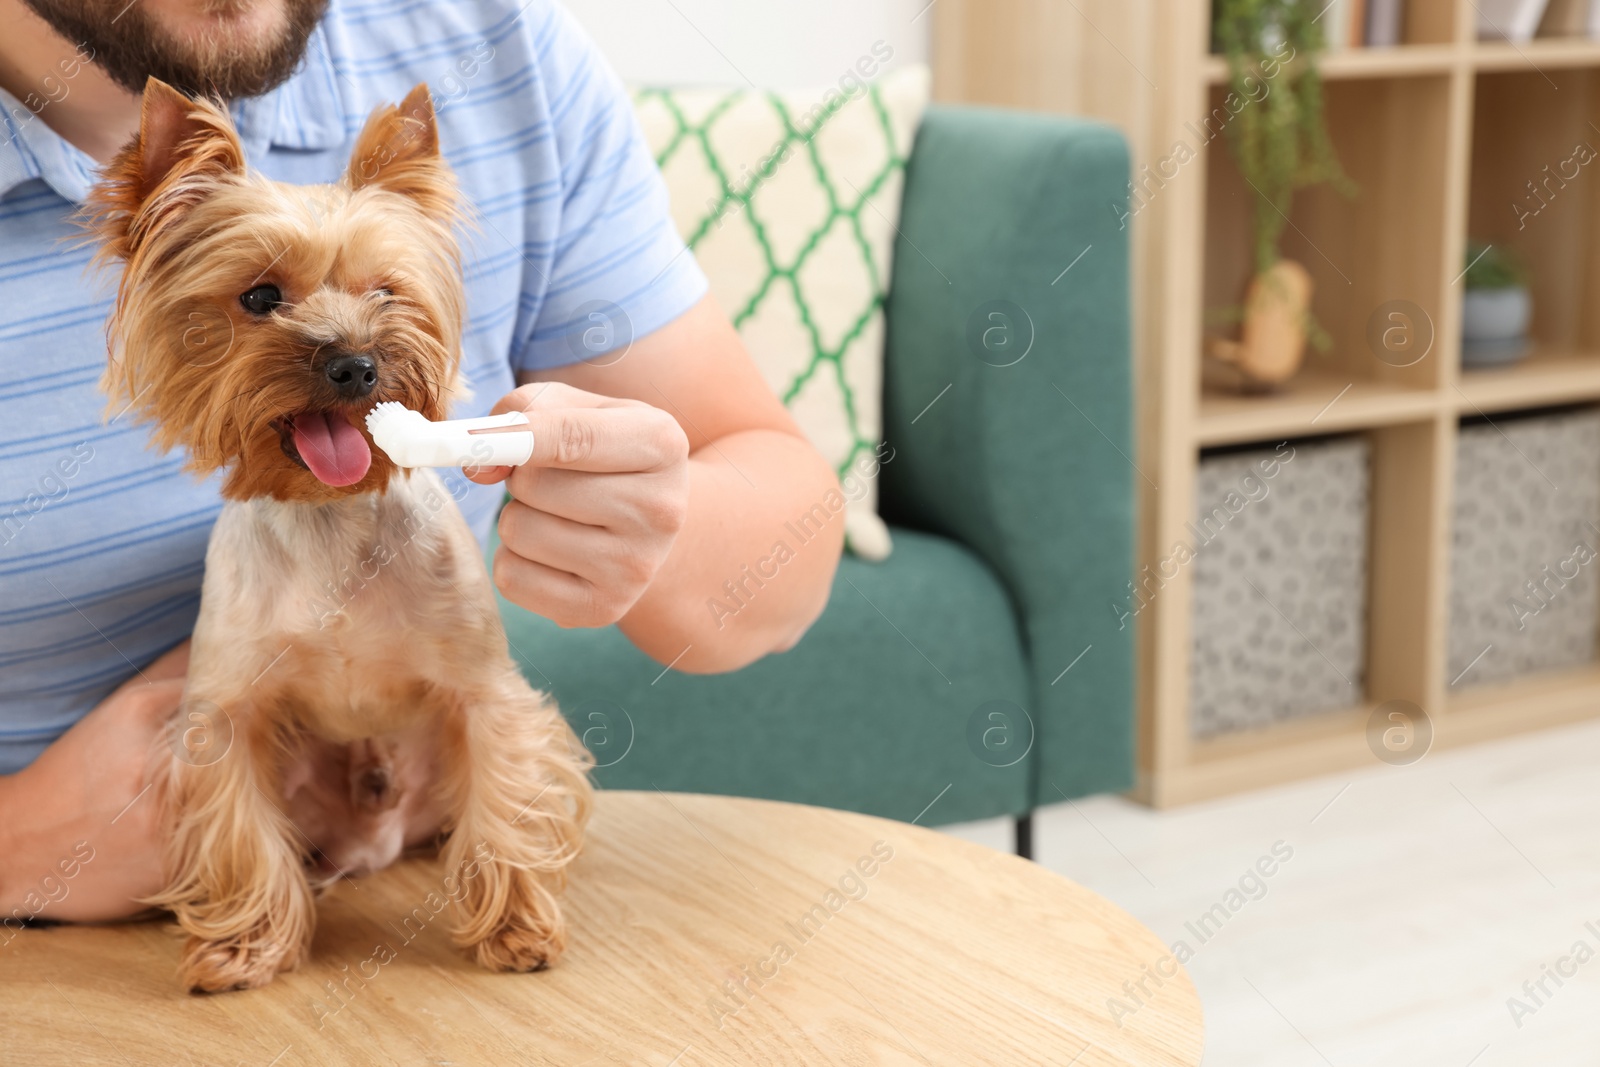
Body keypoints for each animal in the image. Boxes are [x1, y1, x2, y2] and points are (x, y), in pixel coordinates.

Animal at [84, 81, 595, 991]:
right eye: (259, 297)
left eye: (386, 292)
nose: (355, 362)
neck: (331, 510)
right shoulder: (227, 715)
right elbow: (242, 827)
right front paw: (246, 942)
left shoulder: (483, 692)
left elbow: (504, 792)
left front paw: (515, 927)